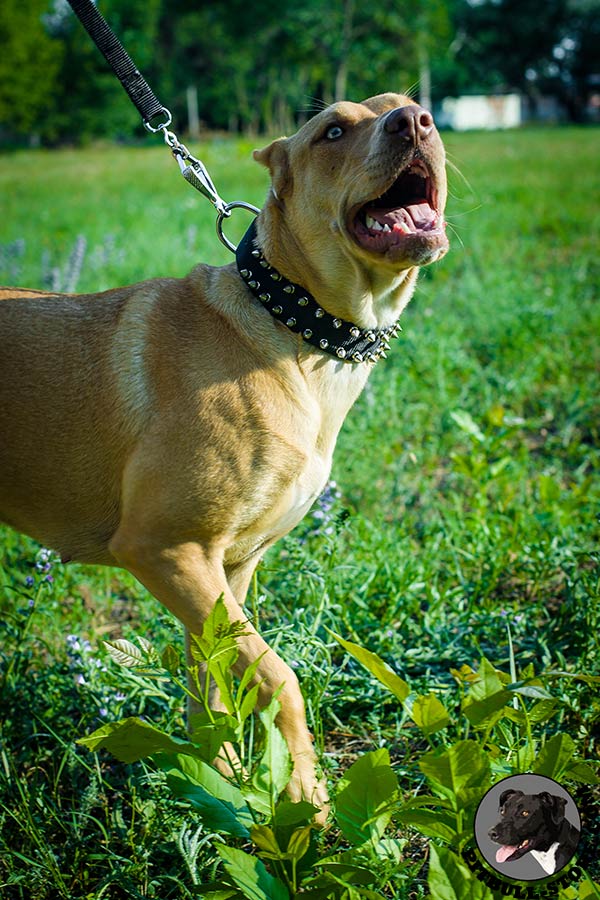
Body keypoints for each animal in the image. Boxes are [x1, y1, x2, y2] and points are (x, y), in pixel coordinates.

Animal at [0, 93, 448, 816]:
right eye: (331, 130)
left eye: (409, 105)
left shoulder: (225, 569)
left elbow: (212, 688)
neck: (297, 333)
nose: (414, 123)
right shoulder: (165, 548)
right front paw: (303, 794)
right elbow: (279, 678)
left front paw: (221, 784)